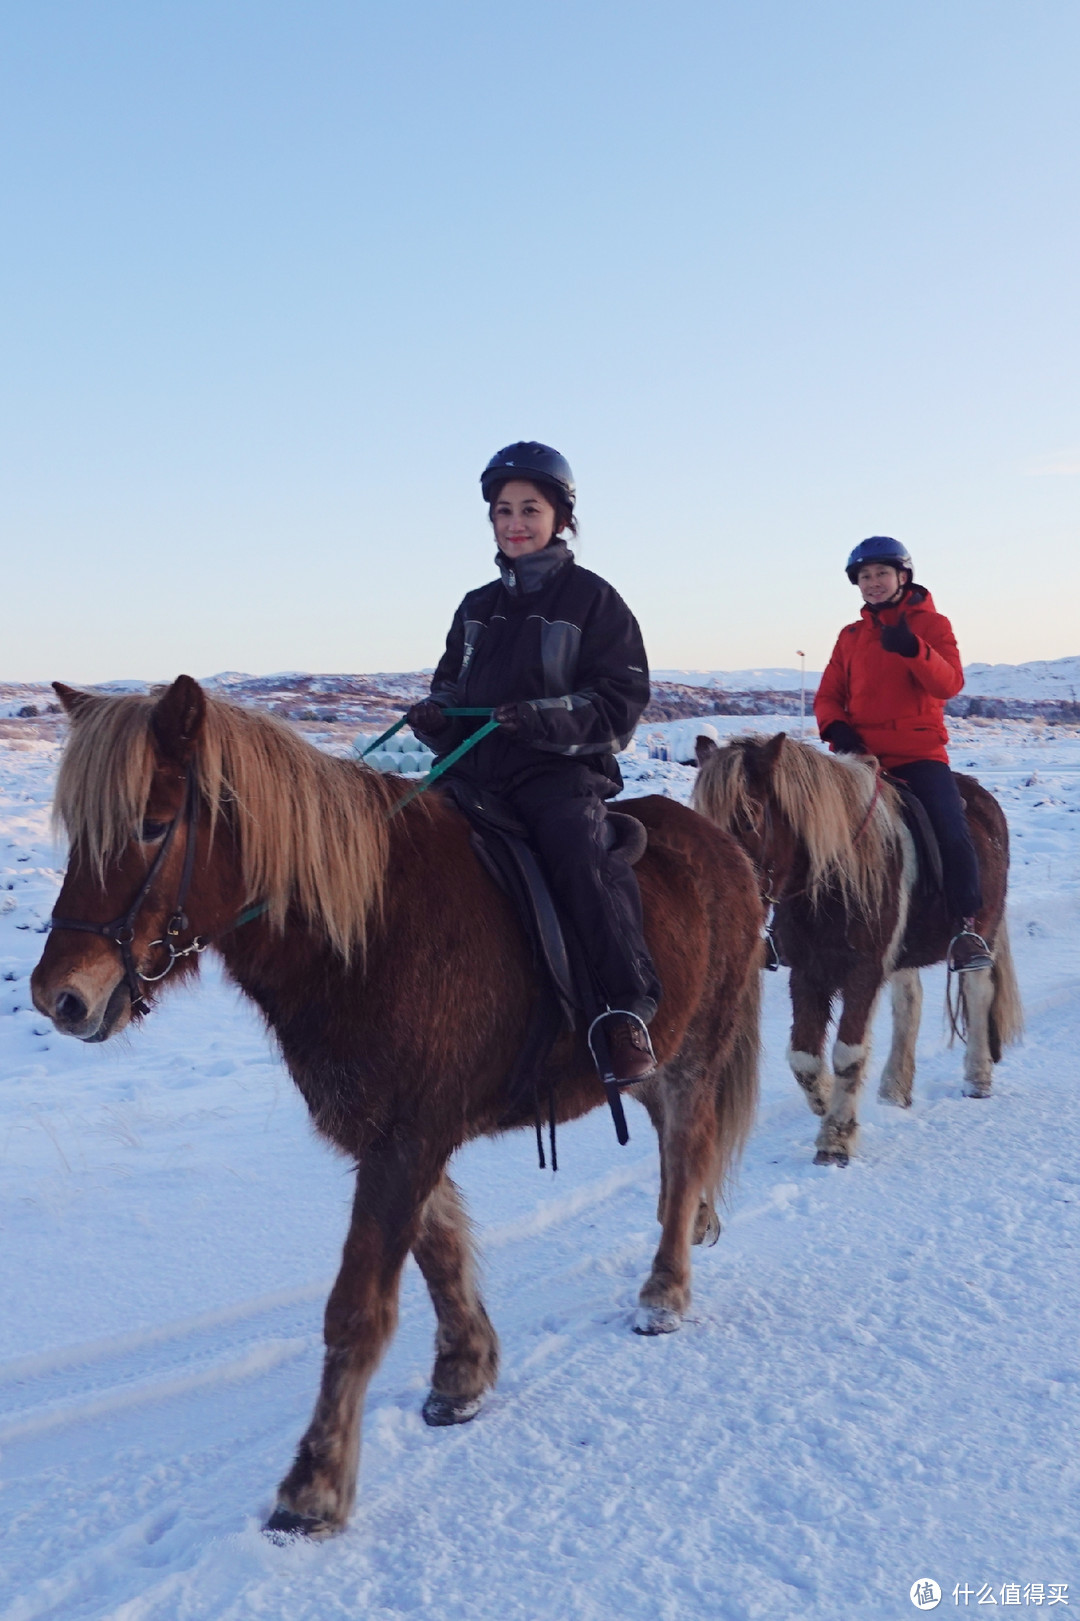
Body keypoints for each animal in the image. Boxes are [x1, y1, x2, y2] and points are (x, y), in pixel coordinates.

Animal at [31, 677, 755, 1536]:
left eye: (151, 821)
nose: (59, 995)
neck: (370, 931)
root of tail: (723, 846)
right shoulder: (392, 1134)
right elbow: (439, 1249)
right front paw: (463, 1373)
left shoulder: (406, 1139)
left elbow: (356, 1309)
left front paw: (314, 1482)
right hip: (647, 1067)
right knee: (682, 1153)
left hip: (693, 1055)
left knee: (685, 1151)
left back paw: (664, 1290)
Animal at [690, 735, 1018, 1167]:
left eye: (748, 817)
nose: (720, 897)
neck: (832, 879)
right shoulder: (807, 972)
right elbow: (804, 1058)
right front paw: (827, 1101)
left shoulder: (864, 971)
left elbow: (848, 1054)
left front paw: (836, 1137)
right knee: (909, 1002)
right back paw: (894, 1088)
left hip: (982, 931)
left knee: (978, 993)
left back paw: (977, 1077)